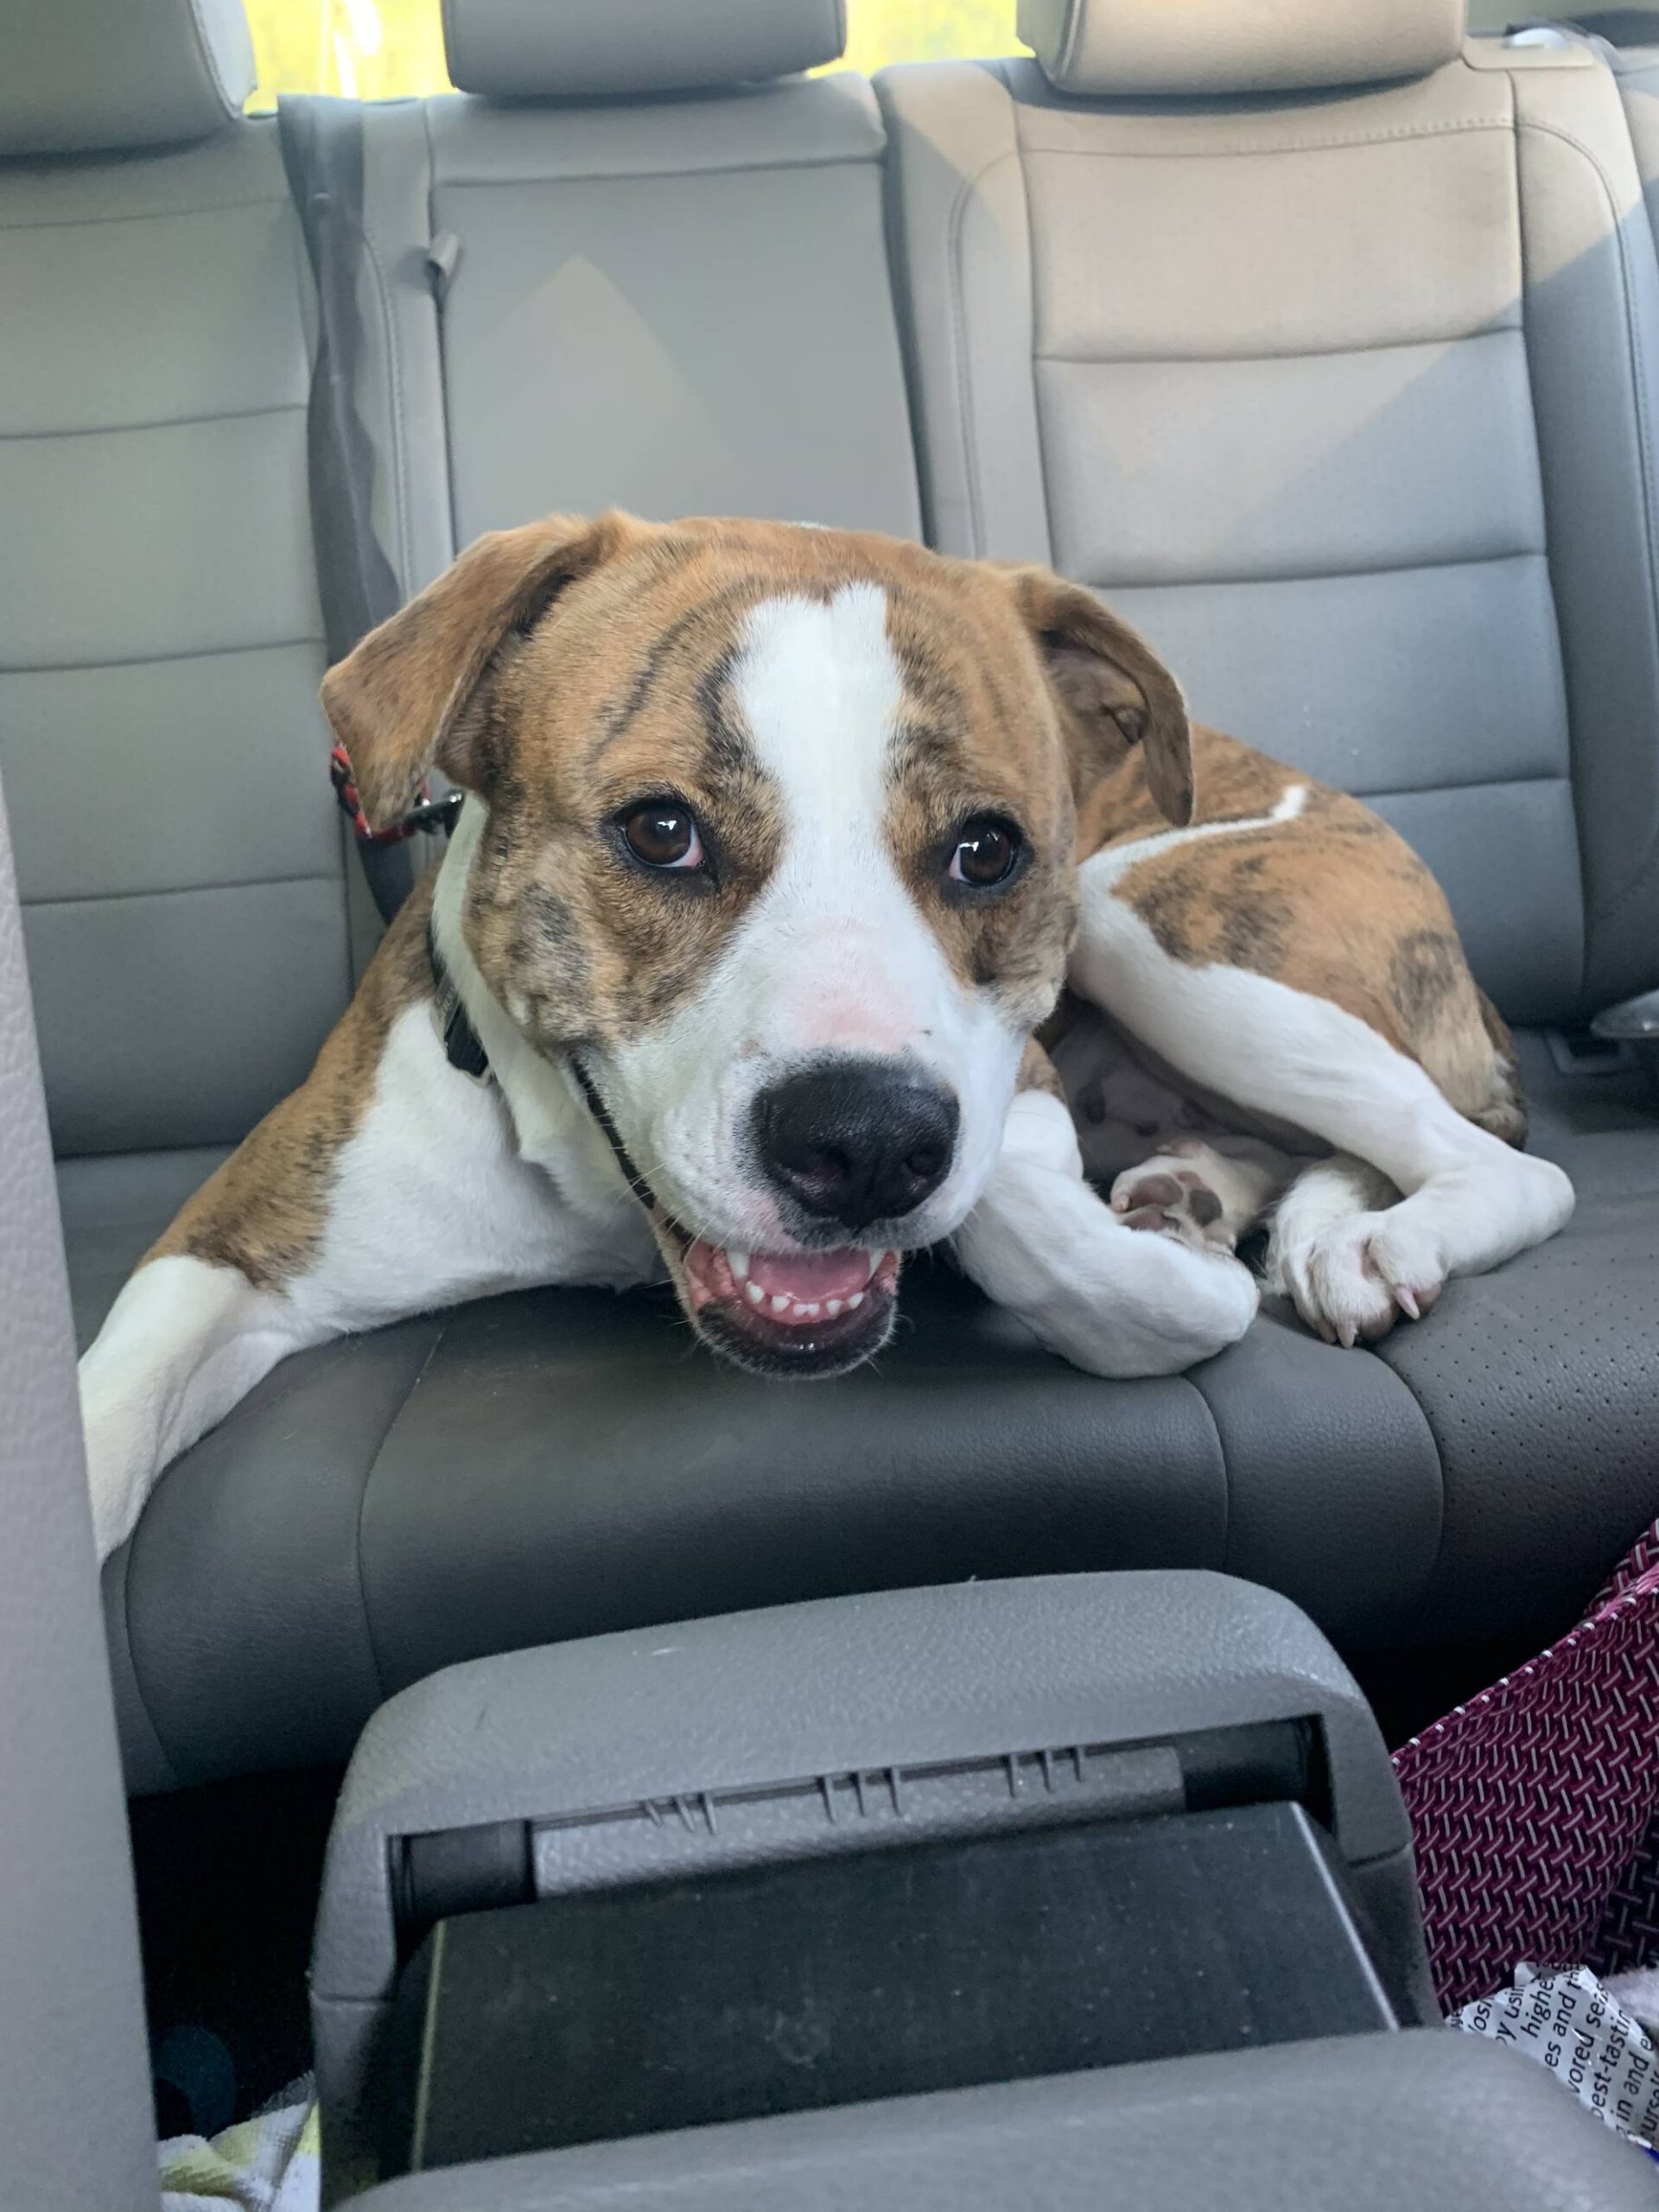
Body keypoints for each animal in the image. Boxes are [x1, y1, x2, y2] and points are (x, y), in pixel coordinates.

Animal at [78, 515, 1583, 1557]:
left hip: (1147, 913)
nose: (866, 1146)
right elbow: (104, 1412)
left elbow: (1065, 1248)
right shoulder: (235, 1237)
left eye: (988, 850)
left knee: (1500, 1160)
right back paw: (1228, 1196)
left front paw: (1160, 1275)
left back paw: (1363, 1237)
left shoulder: (1028, 1082)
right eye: (661, 831)